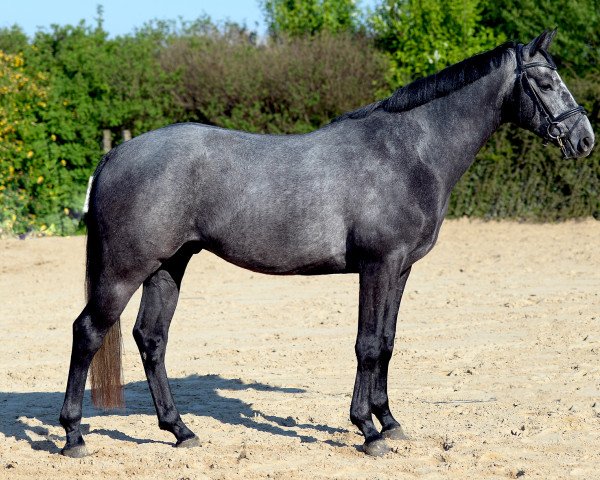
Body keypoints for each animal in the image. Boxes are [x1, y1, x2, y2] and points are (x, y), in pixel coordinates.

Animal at [58, 30, 592, 458]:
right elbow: (367, 345)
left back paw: (181, 432)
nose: (585, 139)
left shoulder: (401, 269)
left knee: (151, 338)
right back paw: (73, 436)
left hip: (168, 266)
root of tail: (116, 154)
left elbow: (388, 343)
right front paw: (367, 431)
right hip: (126, 270)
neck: (408, 153)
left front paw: (389, 422)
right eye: (546, 83)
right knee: (88, 332)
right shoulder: (378, 265)